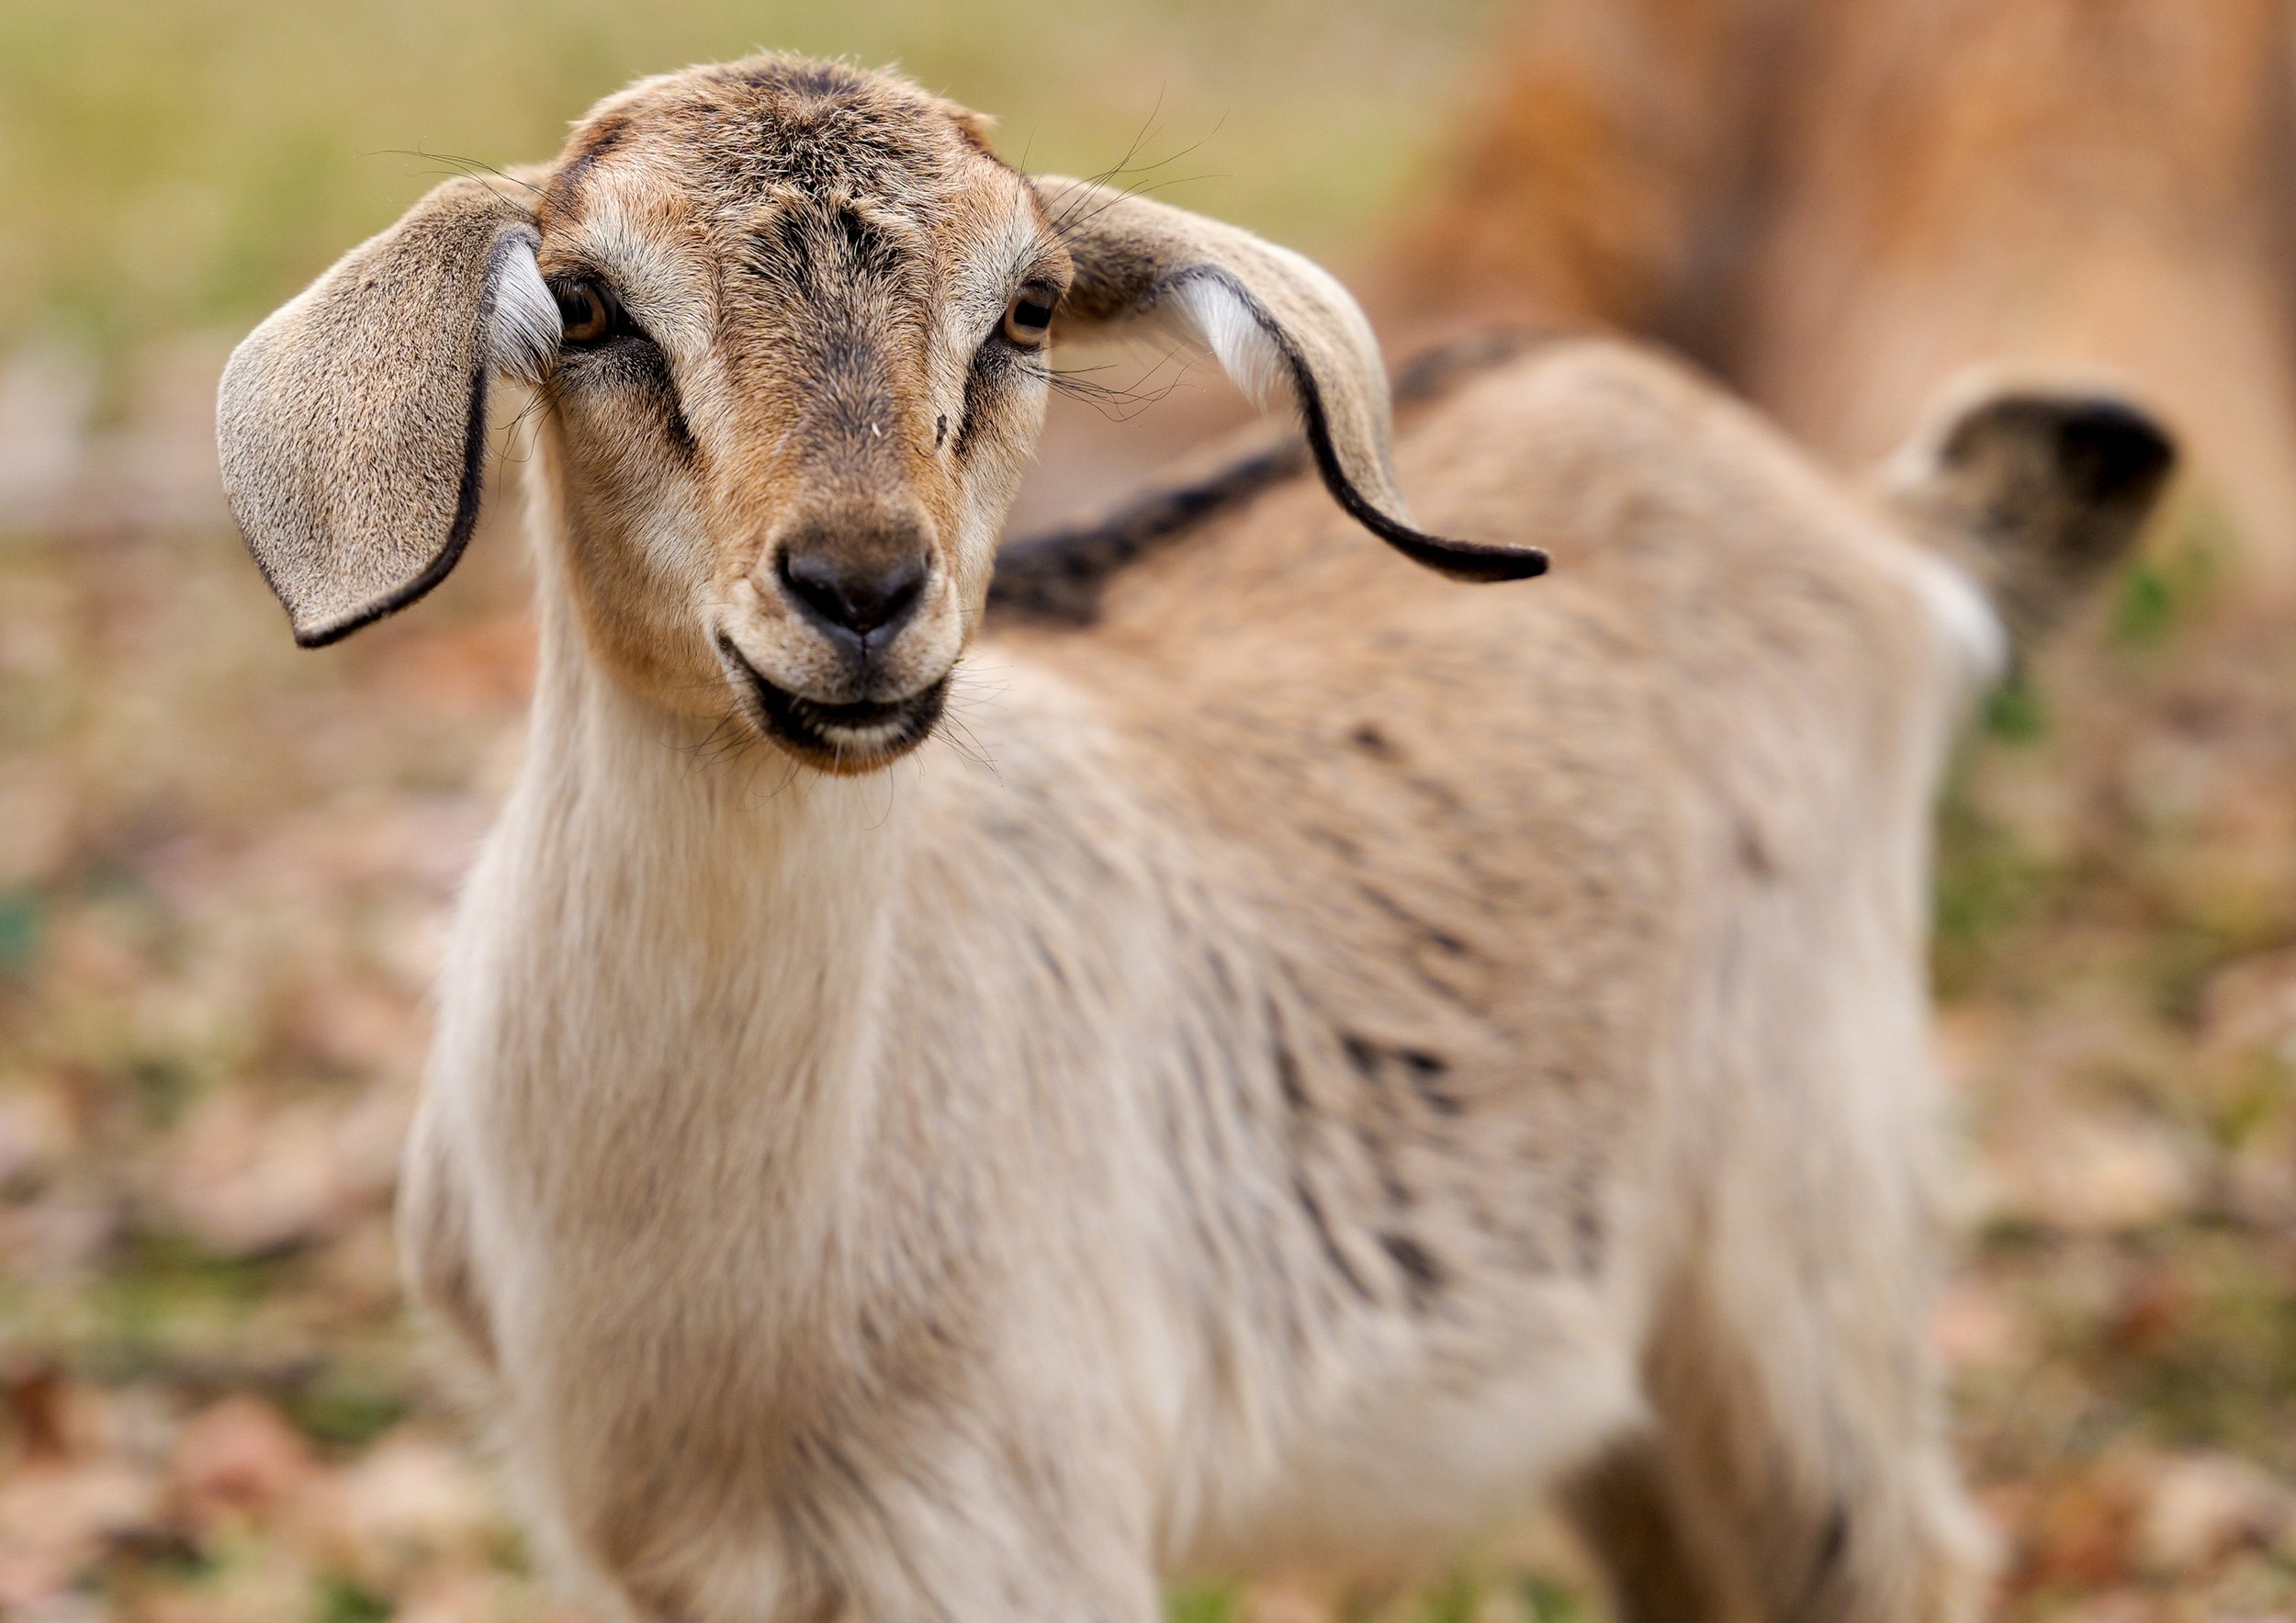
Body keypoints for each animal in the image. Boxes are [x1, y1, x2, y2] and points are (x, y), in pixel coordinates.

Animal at [215, 55, 2175, 1623]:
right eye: (590, 303)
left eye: (1026, 309)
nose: (860, 591)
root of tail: (1886, 527)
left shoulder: (1022, 1536)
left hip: (1802, 1237)